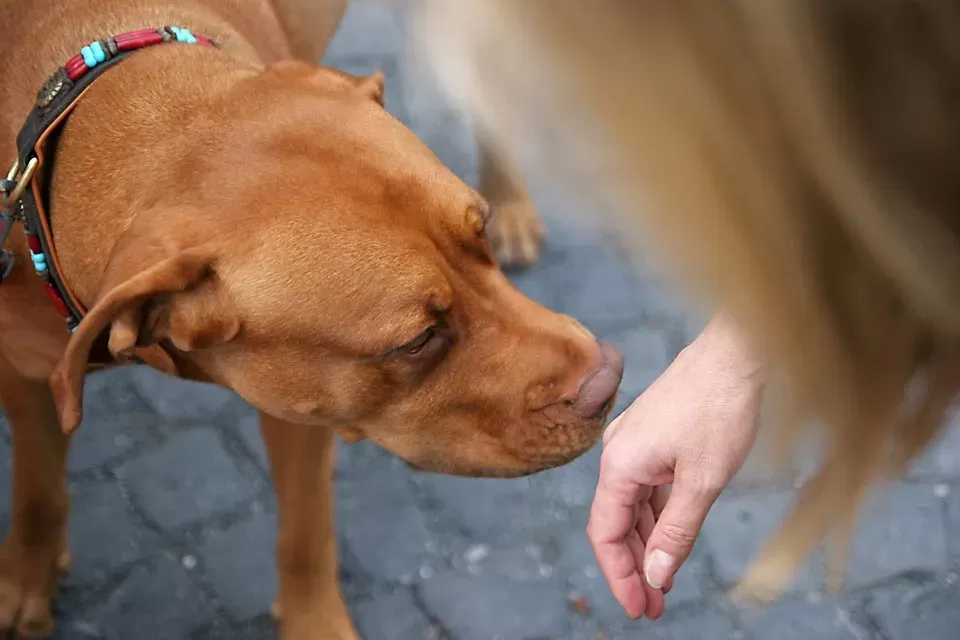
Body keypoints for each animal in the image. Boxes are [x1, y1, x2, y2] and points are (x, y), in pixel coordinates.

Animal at [0, 2, 624, 636]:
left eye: (482, 233)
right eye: (418, 340)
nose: (610, 380)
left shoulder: (302, 414)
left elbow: (305, 532)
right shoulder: (24, 374)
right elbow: (36, 490)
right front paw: (25, 580)